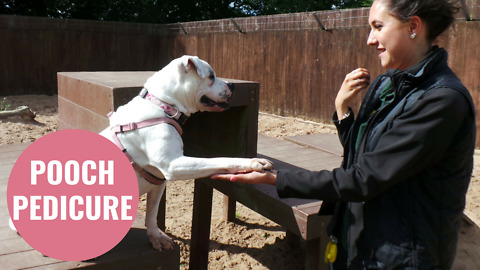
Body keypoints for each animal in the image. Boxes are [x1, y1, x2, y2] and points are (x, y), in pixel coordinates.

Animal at [99, 55, 272, 251]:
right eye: (211, 76)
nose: (232, 85)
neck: (163, 106)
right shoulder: (173, 165)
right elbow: (218, 159)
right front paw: (251, 162)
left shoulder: (158, 181)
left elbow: (151, 213)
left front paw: (155, 237)